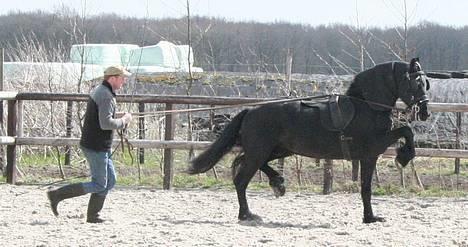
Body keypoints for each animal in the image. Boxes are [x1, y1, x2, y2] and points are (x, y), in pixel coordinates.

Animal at [188, 58, 430, 224]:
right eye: (417, 83)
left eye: (425, 83)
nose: (425, 111)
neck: (368, 106)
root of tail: (250, 111)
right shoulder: (372, 150)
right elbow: (368, 184)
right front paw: (371, 217)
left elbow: (405, 132)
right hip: (262, 151)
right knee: (241, 179)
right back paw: (247, 214)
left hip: (278, 150)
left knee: (242, 161)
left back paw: (278, 183)